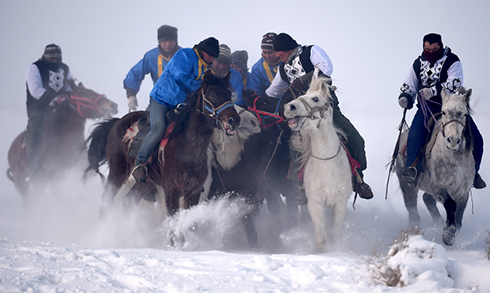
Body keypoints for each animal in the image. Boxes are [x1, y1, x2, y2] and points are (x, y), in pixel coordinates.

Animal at [101, 70, 239, 220]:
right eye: (213, 94)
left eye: (229, 94)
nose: (234, 120)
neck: (187, 149)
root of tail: (117, 123)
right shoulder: (171, 191)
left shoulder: (193, 191)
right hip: (117, 173)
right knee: (107, 199)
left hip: (145, 183)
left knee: (128, 201)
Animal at [284, 76, 352, 252]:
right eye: (302, 95)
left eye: (315, 98)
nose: (289, 107)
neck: (327, 163)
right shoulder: (315, 203)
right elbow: (321, 235)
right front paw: (321, 252)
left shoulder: (340, 202)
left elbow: (334, 232)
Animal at [394, 86, 474, 244]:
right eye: (444, 112)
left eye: (464, 113)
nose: (453, 140)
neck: (454, 158)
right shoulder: (439, 186)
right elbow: (451, 205)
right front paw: (448, 235)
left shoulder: (463, 190)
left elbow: (459, 216)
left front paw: (450, 233)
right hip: (408, 185)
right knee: (414, 211)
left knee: (427, 199)